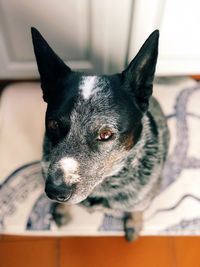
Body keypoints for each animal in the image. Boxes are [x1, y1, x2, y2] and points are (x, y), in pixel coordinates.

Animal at [30, 28, 169, 242]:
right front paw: (61, 209)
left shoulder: (144, 194)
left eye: (105, 134)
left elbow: (137, 208)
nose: (55, 191)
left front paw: (134, 223)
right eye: (53, 124)